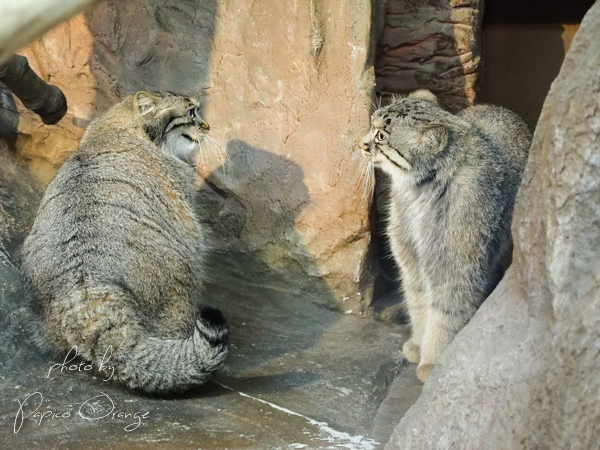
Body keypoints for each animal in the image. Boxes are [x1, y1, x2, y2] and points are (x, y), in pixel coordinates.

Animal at [360, 89, 528, 382]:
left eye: (381, 136)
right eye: (371, 124)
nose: (359, 143)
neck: (418, 193)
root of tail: (504, 110)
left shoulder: (456, 267)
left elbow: (446, 314)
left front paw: (433, 361)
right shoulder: (411, 260)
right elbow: (418, 304)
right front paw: (419, 343)